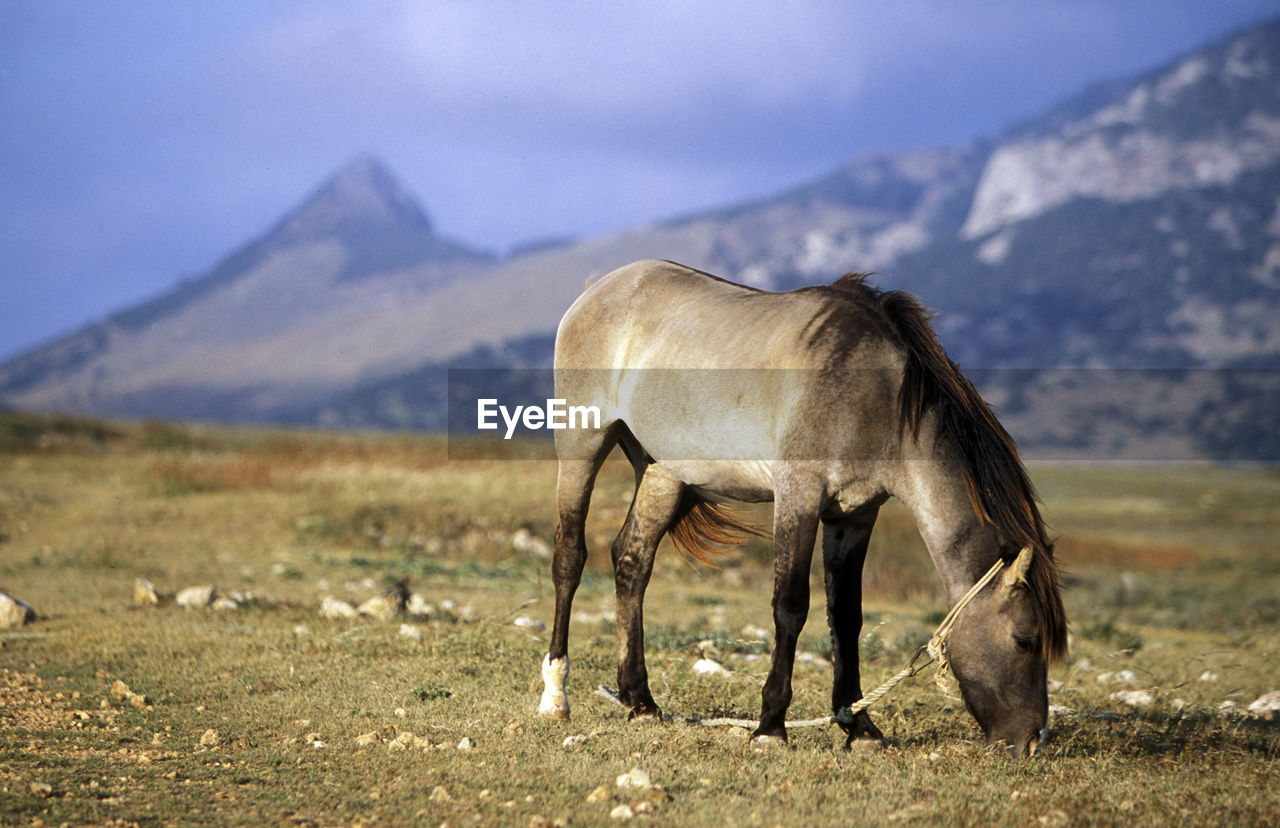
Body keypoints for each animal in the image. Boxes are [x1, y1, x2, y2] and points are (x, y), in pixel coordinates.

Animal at [535, 258, 1064, 757]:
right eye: (1024, 640)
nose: (1031, 742)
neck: (875, 396)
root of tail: (599, 289)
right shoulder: (798, 495)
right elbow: (790, 607)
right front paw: (770, 727)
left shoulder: (854, 515)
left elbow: (846, 617)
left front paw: (859, 728)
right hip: (582, 444)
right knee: (569, 558)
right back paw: (556, 697)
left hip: (662, 468)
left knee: (632, 561)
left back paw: (639, 701)